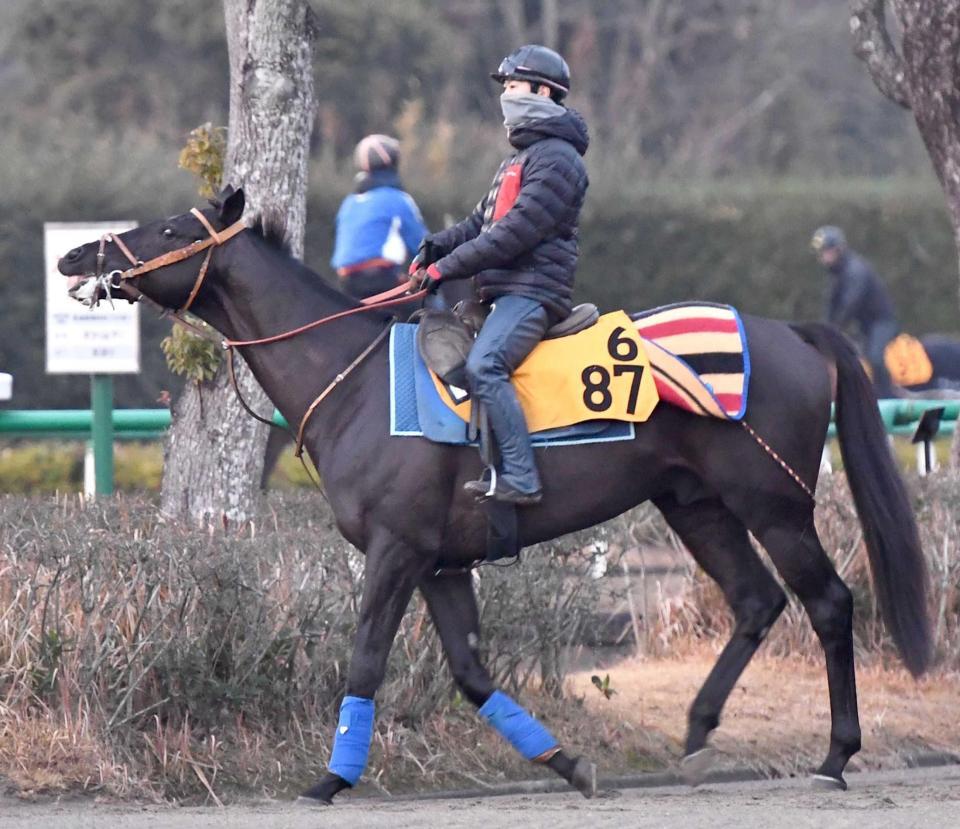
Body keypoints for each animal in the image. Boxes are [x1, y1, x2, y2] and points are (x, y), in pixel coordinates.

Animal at [58, 189, 928, 804]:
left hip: (771, 502)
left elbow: (366, 655)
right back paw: (696, 732)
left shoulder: (398, 548)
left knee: (828, 602)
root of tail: (792, 331)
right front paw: (567, 761)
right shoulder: (442, 562)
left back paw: (835, 753)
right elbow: (474, 673)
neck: (357, 379)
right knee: (755, 601)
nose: (77, 255)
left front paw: (330, 777)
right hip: (697, 504)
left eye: (173, 226)